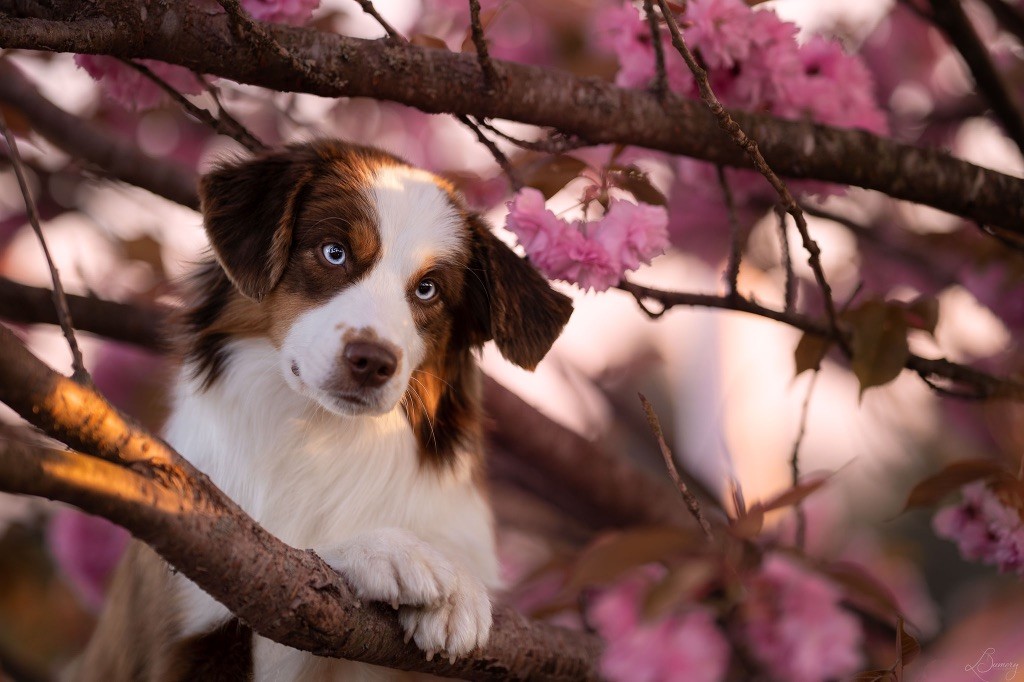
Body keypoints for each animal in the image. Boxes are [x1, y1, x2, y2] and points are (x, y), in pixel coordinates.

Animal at [77, 139, 577, 679]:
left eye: (428, 289)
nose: (372, 362)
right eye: (334, 253)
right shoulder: (196, 611)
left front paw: (458, 587)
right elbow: (290, 559)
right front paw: (388, 551)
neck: (322, 436)